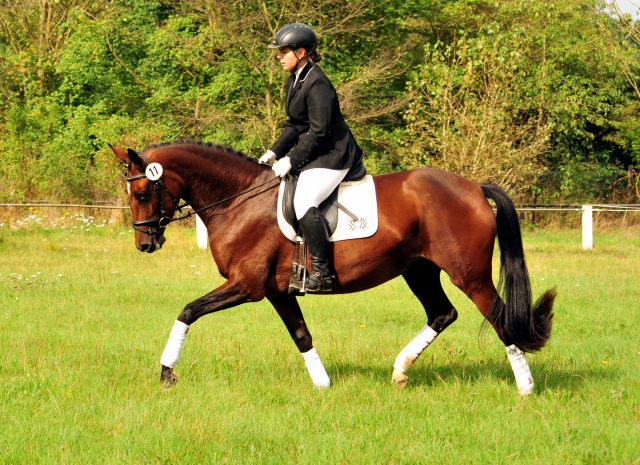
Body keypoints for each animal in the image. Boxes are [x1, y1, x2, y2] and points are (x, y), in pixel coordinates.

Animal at [110, 140, 556, 394]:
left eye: (142, 192)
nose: (145, 244)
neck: (238, 199)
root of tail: (474, 188)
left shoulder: (246, 286)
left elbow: (187, 311)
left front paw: (166, 373)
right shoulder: (276, 291)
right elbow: (301, 335)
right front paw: (323, 385)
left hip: (470, 274)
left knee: (499, 318)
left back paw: (526, 388)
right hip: (419, 270)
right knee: (443, 313)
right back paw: (399, 372)